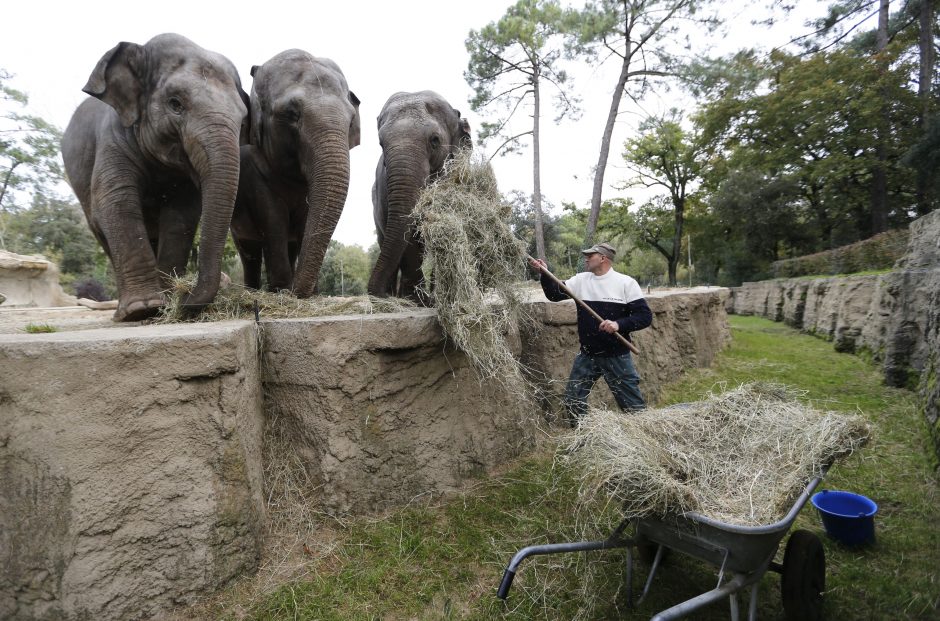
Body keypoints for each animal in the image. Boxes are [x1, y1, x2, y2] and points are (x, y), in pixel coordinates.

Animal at [62, 32, 250, 320]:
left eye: (243, 120)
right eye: (175, 104)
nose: (185, 296)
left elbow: (181, 215)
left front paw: (166, 302)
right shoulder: (113, 137)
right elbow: (115, 200)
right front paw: (144, 309)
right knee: (100, 229)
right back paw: (124, 312)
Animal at [230, 49, 360, 294]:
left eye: (350, 123)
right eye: (292, 114)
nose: (295, 292)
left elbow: (307, 219)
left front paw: (309, 294)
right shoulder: (253, 169)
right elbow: (273, 218)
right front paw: (281, 289)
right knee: (249, 250)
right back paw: (253, 291)